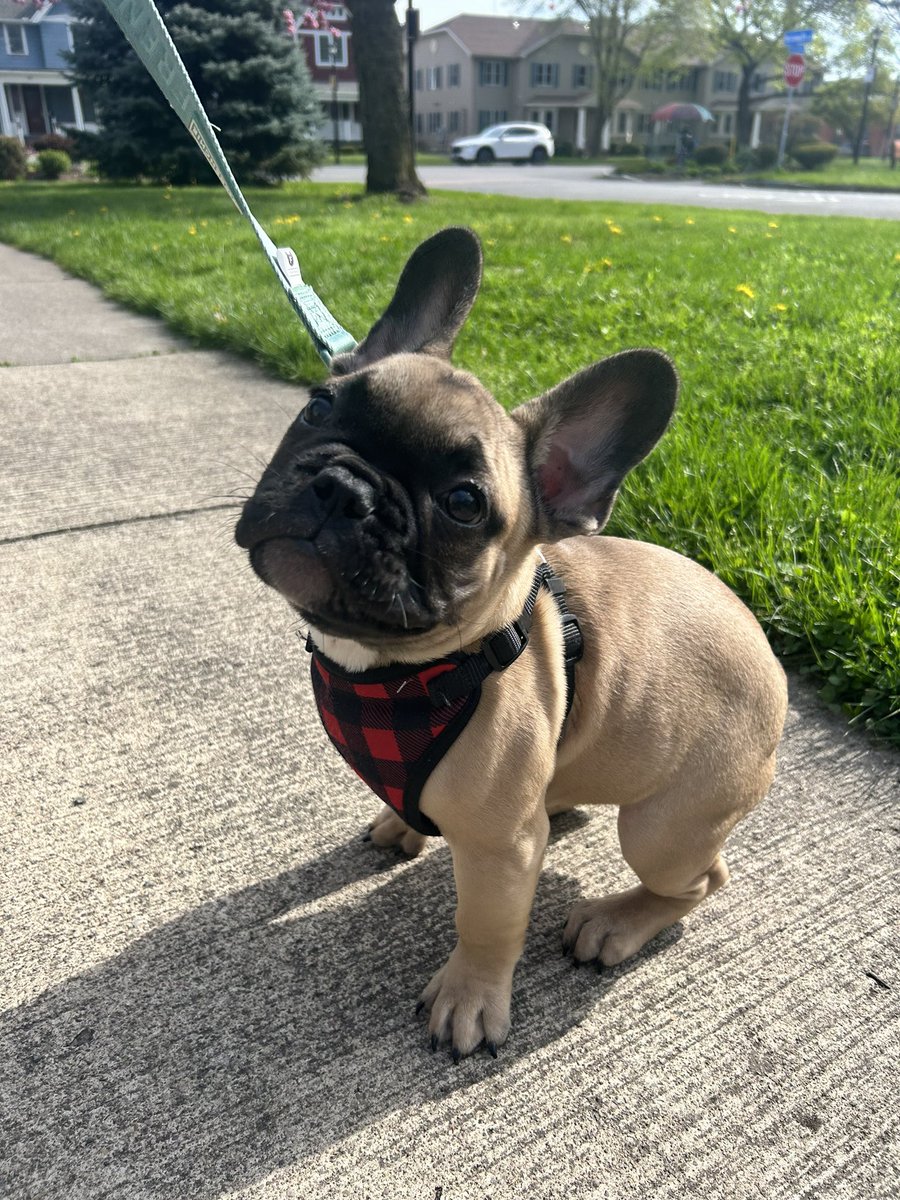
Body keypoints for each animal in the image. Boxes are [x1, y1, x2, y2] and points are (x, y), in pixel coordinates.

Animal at [237, 225, 787, 1060]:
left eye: (465, 504)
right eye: (316, 407)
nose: (345, 487)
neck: (396, 671)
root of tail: (774, 662)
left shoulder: (501, 851)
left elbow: (488, 924)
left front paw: (470, 999)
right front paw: (402, 822)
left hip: (666, 825)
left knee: (699, 878)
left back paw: (617, 923)